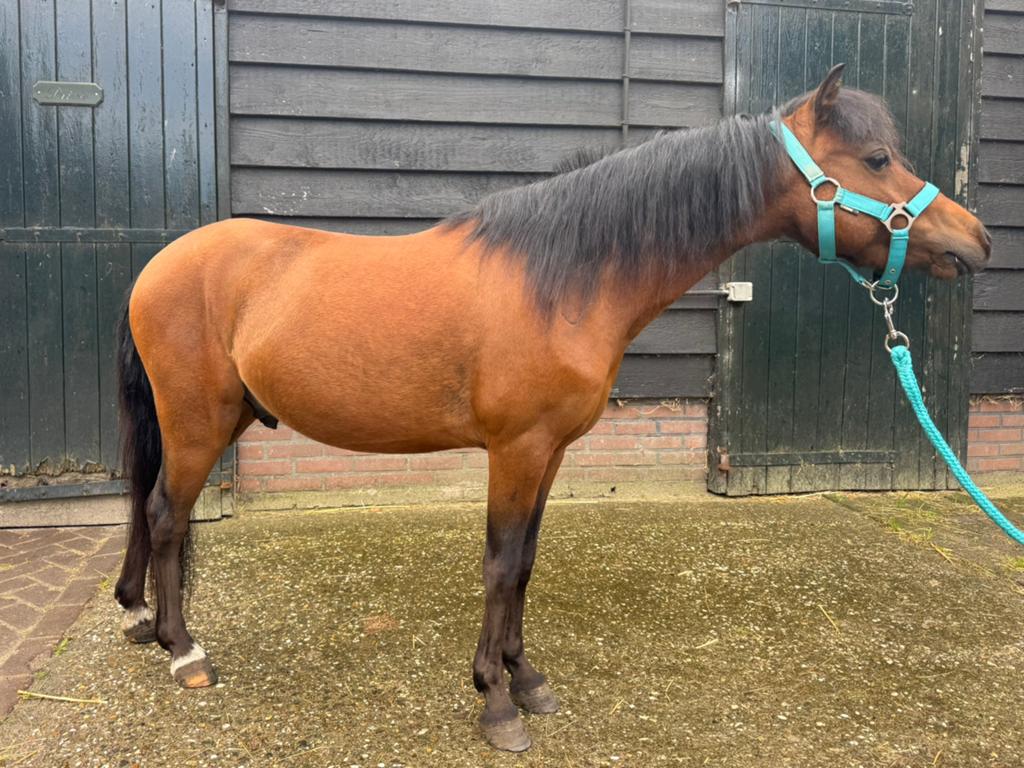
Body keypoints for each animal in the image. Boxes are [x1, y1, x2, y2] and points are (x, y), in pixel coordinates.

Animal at [113, 64, 990, 752]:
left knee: (155, 514)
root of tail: (158, 265)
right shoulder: (517, 448)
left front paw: (525, 677)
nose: (976, 240)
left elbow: (528, 564)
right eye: (876, 158)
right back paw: (184, 652)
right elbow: (501, 565)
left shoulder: (553, 452)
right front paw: (495, 703)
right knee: (164, 516)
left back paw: (148, 624)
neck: (563, 278)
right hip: (195, 425)